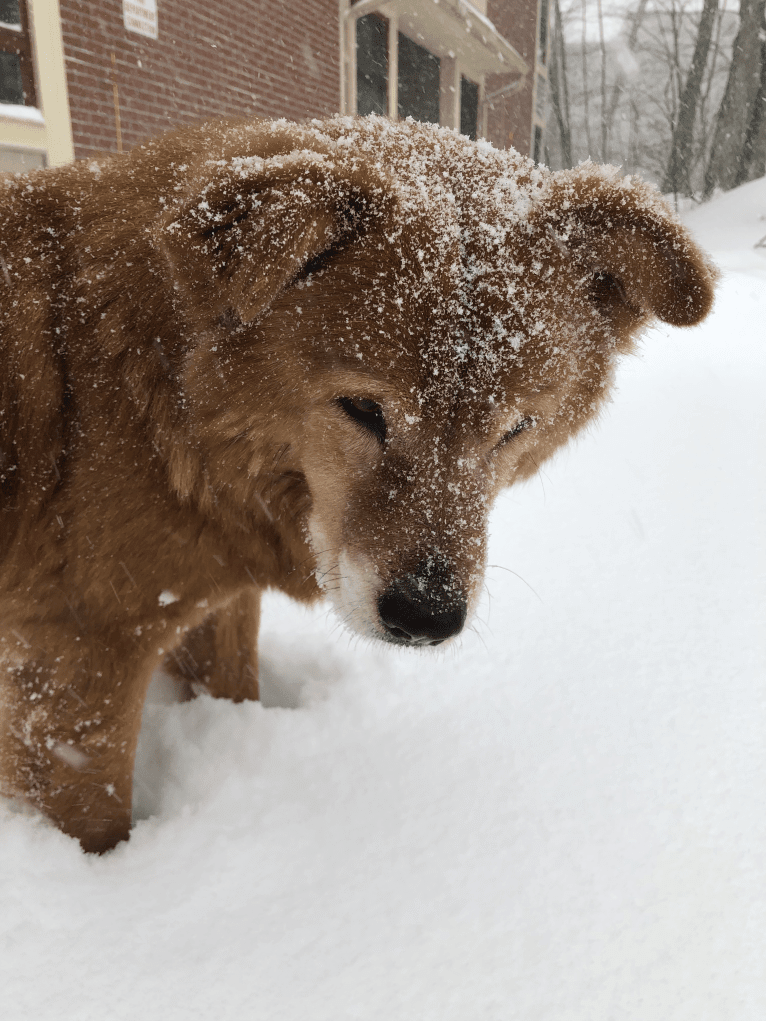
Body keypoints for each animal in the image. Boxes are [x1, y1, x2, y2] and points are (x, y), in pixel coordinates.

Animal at [0, 117, 719, 853]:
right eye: (364, 409)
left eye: (515, 427)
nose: (426, 618)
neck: (158, 395)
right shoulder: (79, 650)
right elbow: (95, 815)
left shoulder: (211, 600)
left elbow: (234, 684)